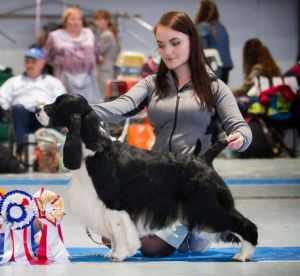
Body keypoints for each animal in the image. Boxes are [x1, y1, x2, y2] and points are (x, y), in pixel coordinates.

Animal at [36, 94, 258, 260]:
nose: (37, 109)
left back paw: (243, 255)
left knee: (245, 225)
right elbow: (114, 233)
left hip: (207, 204)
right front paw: (113, 253)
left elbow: (118, 230)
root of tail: (203, 158)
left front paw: (120, 255)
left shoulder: (113, 203)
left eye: (58, 105)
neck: (93, 148)